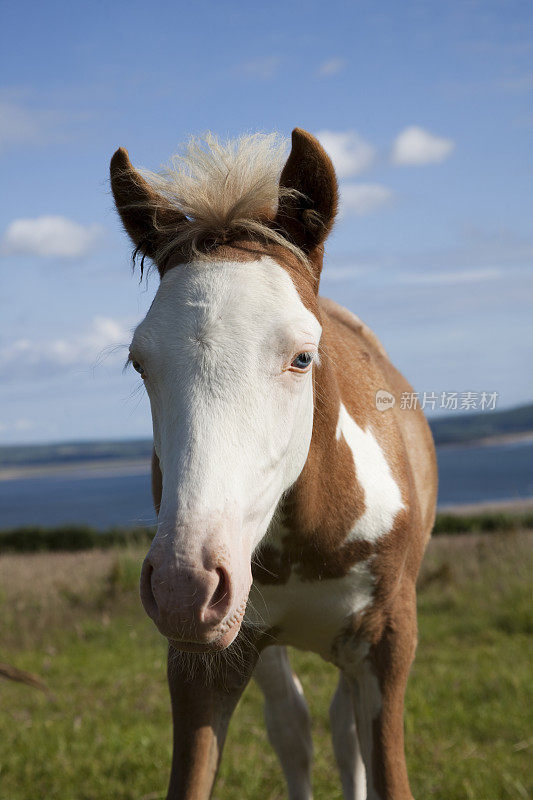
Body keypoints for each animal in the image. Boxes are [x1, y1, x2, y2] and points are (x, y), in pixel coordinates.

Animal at [109, 128, 436, 796]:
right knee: (296, 725)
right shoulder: (204, 661)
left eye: (302, 357)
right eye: (139, 362)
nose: (184, 585)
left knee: (341, 729)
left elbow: (382, 763)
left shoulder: (389, 639)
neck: (317, 534)